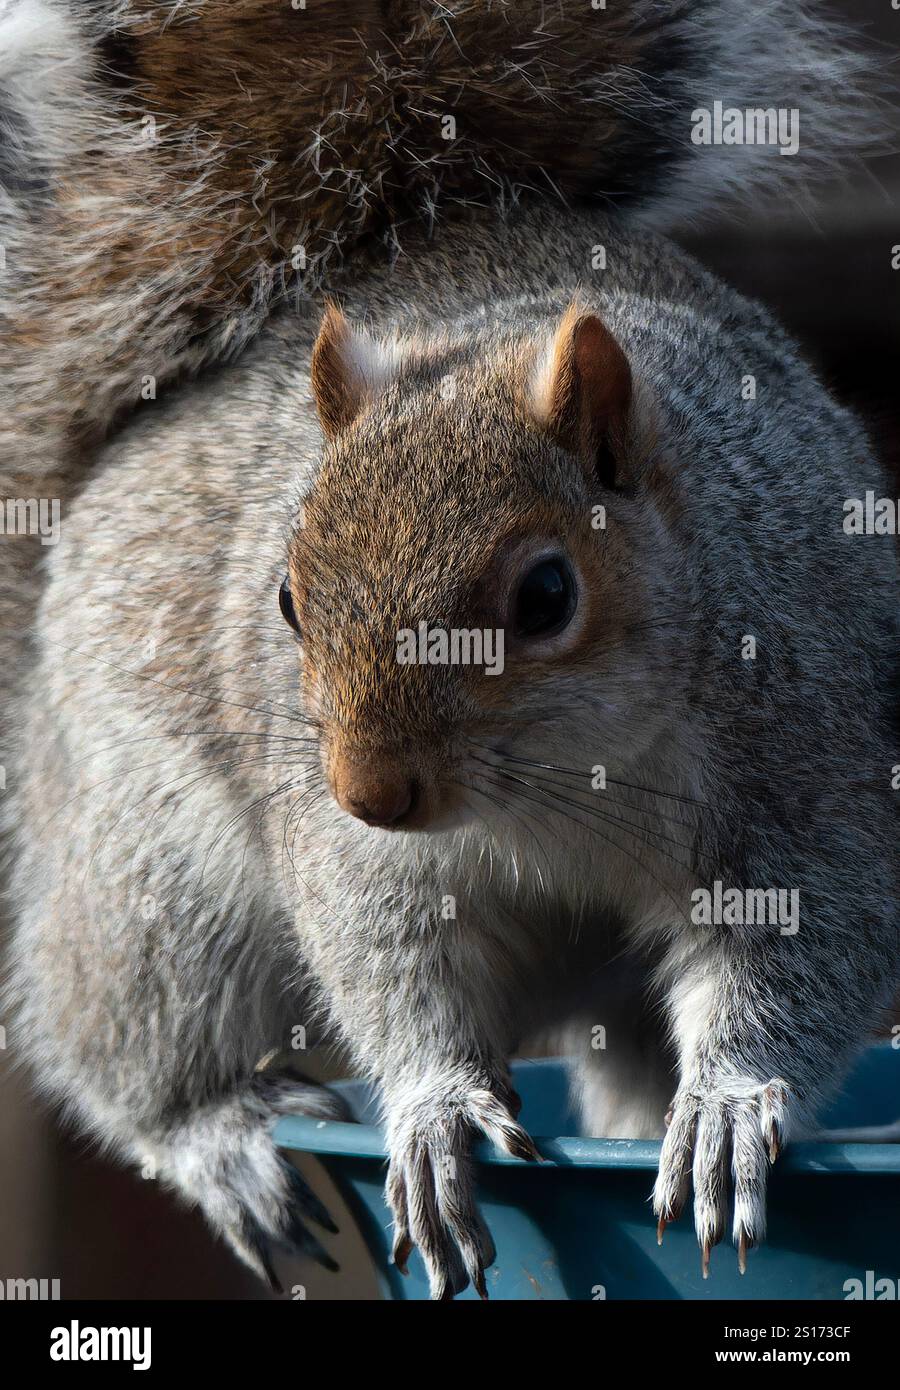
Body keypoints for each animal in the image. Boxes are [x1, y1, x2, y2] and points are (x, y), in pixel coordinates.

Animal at [2, 2, 898, 1296]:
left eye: (547, 594)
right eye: (285, 599)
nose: (373, 792)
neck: (568, 783)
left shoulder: (803, 754)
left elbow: (809, 939)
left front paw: (729, 1108)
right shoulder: (363, 861)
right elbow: (393, 963)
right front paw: (434, 1116)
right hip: (148, 861)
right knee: (129, 1026)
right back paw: (220, 1133)